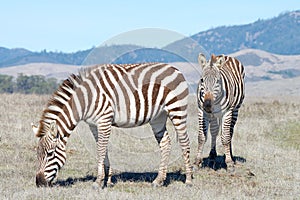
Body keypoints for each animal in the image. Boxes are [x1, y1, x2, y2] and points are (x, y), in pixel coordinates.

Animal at [32, 62, 192, 188]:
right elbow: (103, 149)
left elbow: (101, 150)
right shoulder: (94, 125)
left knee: (184, 141)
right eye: (37, 154)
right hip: (158, 117)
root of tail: (174, 68)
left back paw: (188, 180)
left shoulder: (104, 120)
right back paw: (159, 181)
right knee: (165, 143)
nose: (39, 183)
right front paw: (107, 180)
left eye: (50, 153)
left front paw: (98, 182)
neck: (86, 101)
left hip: (177, 109)